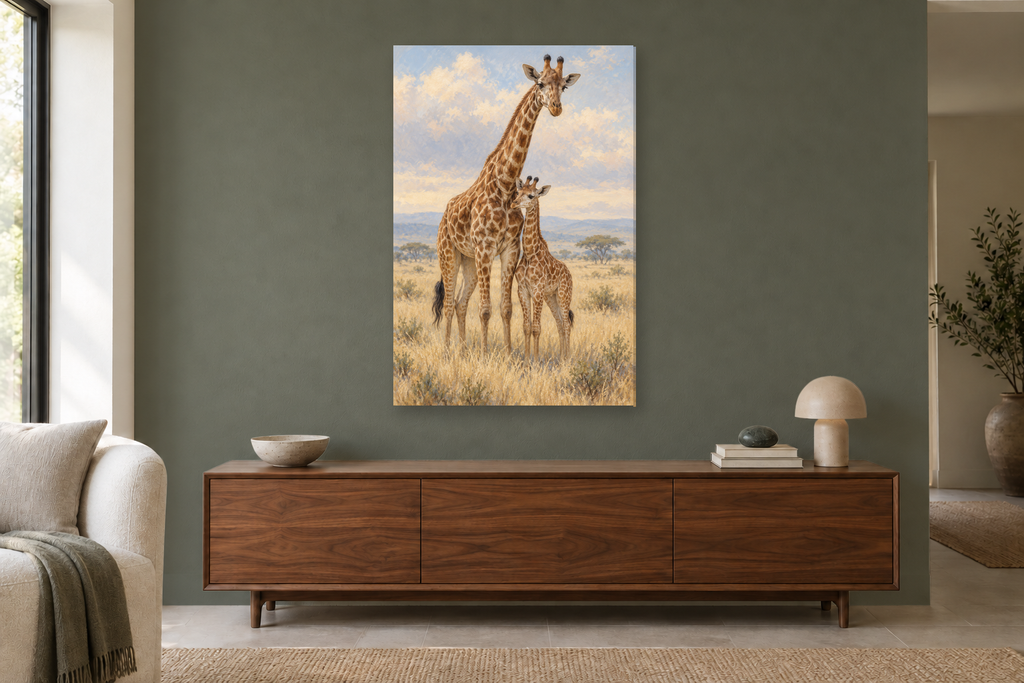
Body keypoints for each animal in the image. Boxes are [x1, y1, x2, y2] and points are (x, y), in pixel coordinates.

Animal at [513, 176, 575, 361]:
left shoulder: (537, 290)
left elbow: (536, 328)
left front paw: (536, 361)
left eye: (531, 195)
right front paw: (526, 361)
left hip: (563, 294)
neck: (529, 252)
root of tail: (569, 274)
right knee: (560, 323)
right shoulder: (522, 289)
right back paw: (561, 358)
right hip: (551, 297)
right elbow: (526, 326)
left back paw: (568, 359)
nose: (514, 203)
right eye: (518, 191)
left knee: (566, 323)